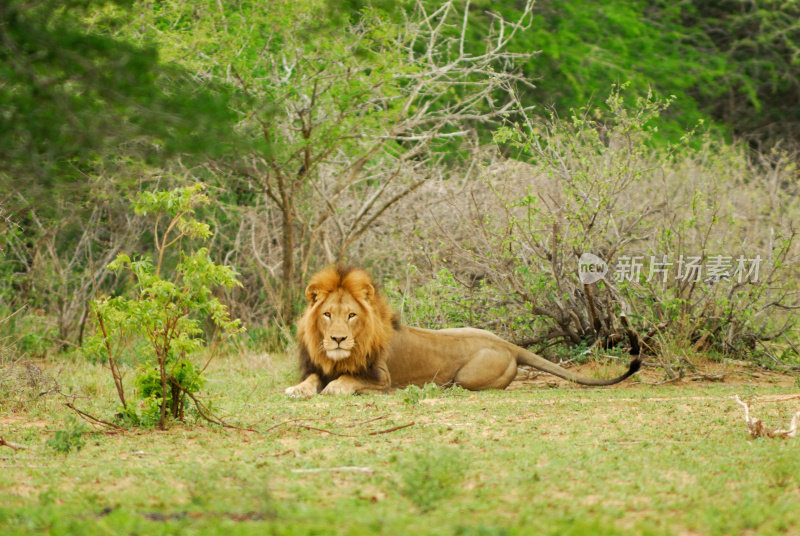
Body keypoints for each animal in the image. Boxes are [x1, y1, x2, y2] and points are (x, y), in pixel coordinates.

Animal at [284, 266, 640, 396]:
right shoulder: (319, 367)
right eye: (327, 314)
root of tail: (508, 344)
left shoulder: (382, 379)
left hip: (468, 376)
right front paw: (298, 390)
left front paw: (333, 388)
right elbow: (312, 379)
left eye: (352, 315)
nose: (337, 339)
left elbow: (347, 381)